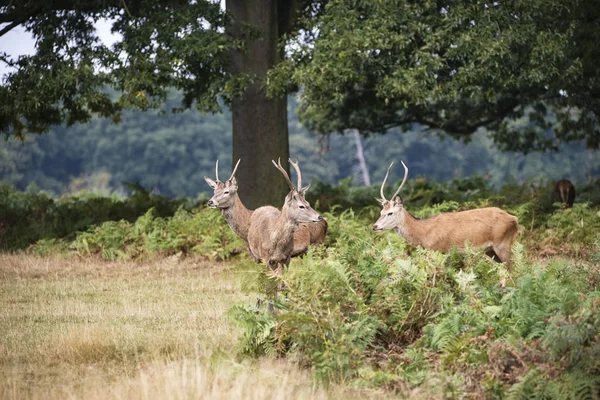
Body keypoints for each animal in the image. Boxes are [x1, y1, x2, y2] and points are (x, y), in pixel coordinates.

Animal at [372, 162, 516, 268]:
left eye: (390, 213)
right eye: (381, 212)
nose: (375, 226)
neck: (424, 234)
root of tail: (514, 219)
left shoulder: (441, 251)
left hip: (502, 243)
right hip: (491, 251)